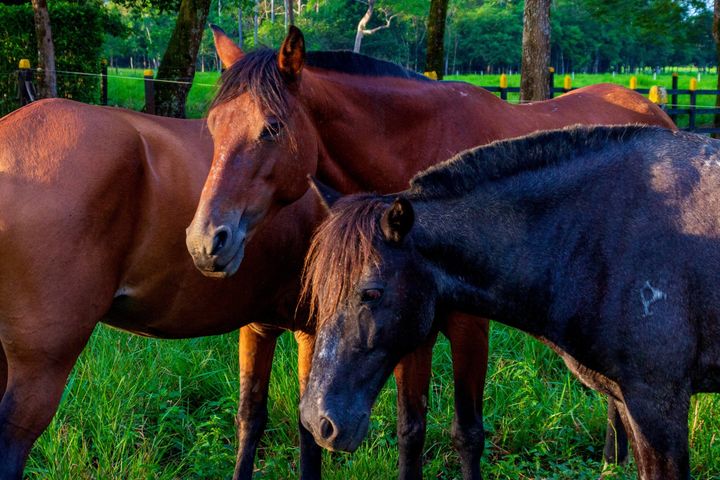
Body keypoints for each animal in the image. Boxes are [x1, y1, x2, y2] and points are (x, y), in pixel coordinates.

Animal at [184, 25, 676, 476]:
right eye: (213, 127)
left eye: (272, 127)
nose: (205, 241)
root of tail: (656, 110)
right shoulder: (407, 325)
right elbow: (411, 429)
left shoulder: (468, 326)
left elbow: (468, 433)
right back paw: (613, 455)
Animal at [300, 125, 720, 478]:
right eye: (318, 291)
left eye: (371, 292)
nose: (316, 420)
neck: (605, 229)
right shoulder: (632, 406)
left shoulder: (658, 405)